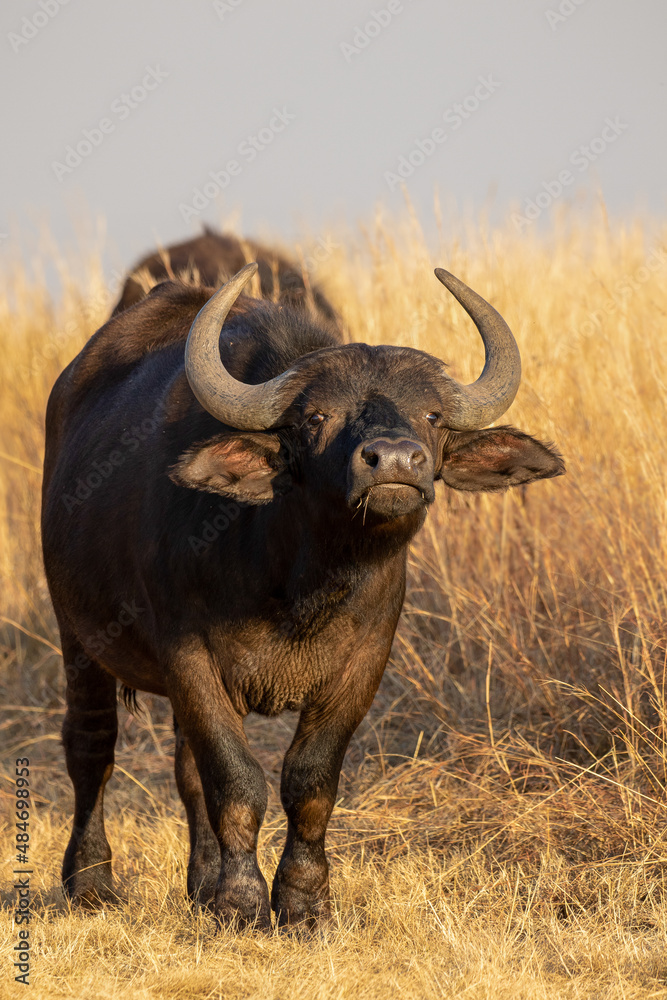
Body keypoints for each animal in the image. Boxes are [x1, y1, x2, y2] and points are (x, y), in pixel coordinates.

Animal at [41, 230, 564, 924]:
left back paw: (199, 884)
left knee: (184, 769)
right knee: (91, 746)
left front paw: (301, 901)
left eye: (431, 416)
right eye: (316, 418)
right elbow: (237, 779)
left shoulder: (362, 664)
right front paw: (241, 901)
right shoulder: (189, 657)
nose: (394, 462)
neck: (297, 583)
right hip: (77, 632)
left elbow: (308, 780)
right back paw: (92, 881)